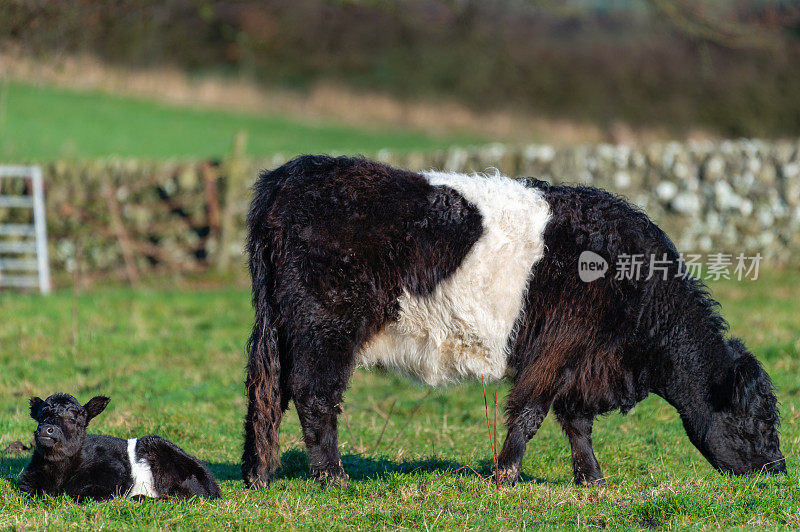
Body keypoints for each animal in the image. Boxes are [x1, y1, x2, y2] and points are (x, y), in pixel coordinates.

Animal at [20, 392, 220, 500]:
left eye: (73, 419)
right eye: (41, 416)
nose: (46, 429)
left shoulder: (113, 477)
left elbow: (81, 495)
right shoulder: (26, 482)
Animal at [241, 153, 784, 486]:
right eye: (759, 420)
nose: (778, 469)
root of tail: (292, 173)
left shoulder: (581, 363)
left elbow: (576, 422)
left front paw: (591, 478)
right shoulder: (559, 352)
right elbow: (531, 413)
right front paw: (506, 475)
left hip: (280, 332)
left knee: (265, 392)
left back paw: (257, 474)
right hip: (324, 330)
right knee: (314, 396)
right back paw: (332, 476)